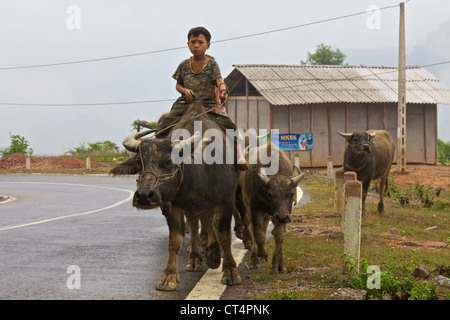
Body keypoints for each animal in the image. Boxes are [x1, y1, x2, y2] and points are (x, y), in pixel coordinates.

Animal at [109, 102, 243, 290]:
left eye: (168, 161)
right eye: (138, 162)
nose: (143, 196)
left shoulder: (225, 202)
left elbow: (224, 234)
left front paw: (230, 271)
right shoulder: (174, 205)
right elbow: (175, 241)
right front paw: (169, 276)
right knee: (196, 225)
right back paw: (196, 258)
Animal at [239, 144, 306, 272]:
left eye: (291, 193)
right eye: (270, 194)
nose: (282, 217)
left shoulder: (283, 214)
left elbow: (279, 236)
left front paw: (278, 264)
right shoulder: (255, 209)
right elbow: (258, 235)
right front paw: (263, 254)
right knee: (253, 230)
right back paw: (255, 259)